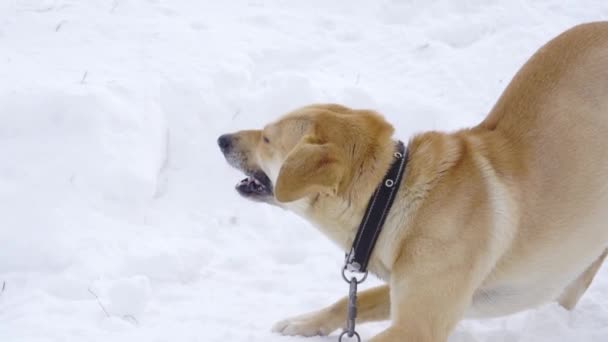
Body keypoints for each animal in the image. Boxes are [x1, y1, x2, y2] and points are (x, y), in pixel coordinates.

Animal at [216, 22, 608, 340]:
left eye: (267, 139)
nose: (222, 139)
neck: (389, 197)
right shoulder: (407, 289)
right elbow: (350, 300)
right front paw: (302, 323)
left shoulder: (419, 324)